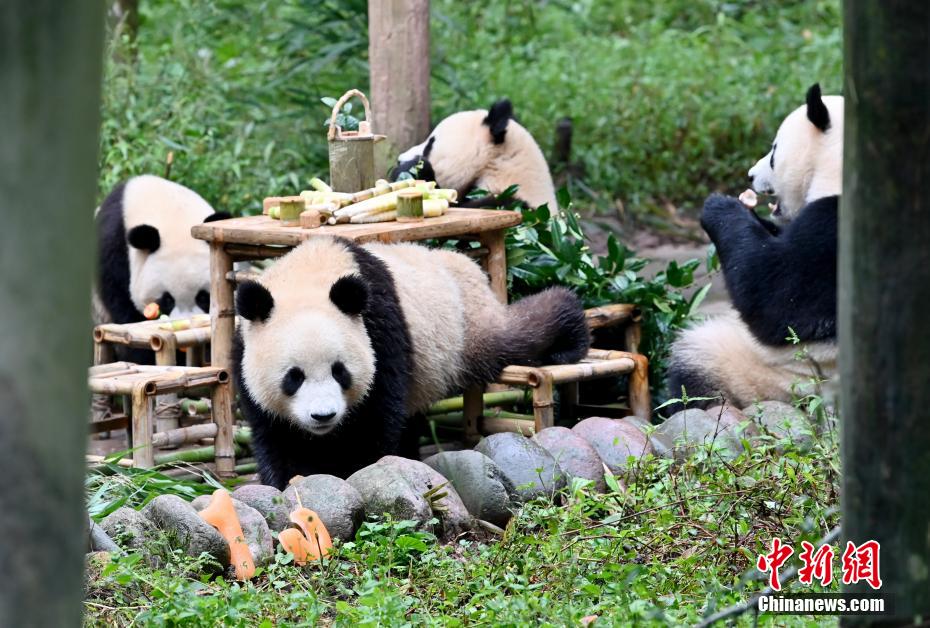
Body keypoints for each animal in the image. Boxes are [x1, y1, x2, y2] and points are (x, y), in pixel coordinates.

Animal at [233, 236, 590, 488]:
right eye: (294, 377)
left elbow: (376, 415)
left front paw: (355, 470)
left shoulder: (379, 328)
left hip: (464, 323)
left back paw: (569, 337)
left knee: (517, 333)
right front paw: (292, 480)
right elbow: (275, 433)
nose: (323, 416)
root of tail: (469, 266)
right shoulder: (243, 350)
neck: (310, 277)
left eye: (340, 372)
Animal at [666, 84, 842, 410]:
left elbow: (776, 300)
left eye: (773, 152)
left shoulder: (832, 232)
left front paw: (719, 206)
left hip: (782, 379)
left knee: (696, 358)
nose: (750, 174)